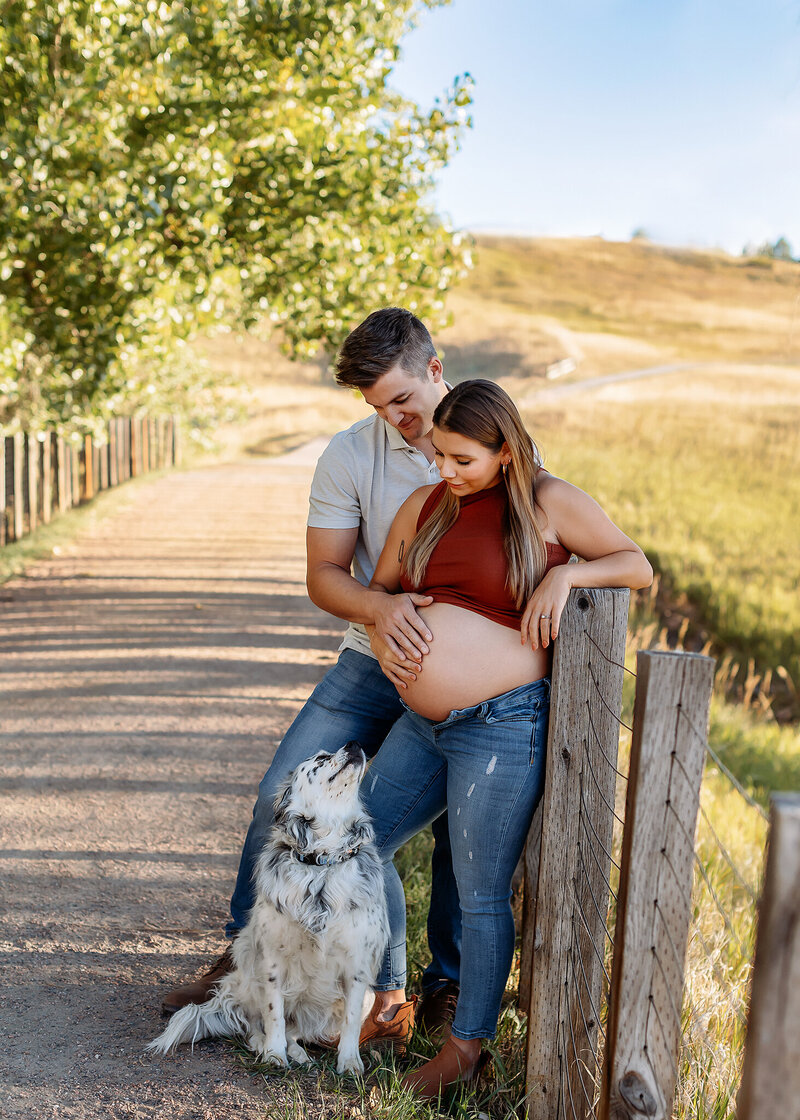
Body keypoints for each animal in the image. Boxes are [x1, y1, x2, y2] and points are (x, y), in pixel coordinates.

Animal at [150, 743, 389, 1075]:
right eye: (320, 758)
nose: (354, 744)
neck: (321, 864)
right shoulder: (272, 960)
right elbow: (273, 1014)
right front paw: (274, 1054)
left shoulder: (357, 966)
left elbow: (351, 1022)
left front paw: (350, 1062)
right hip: (248, 975)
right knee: (256, 1027)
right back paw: (271, 1047)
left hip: (367, 996)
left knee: (297, 1032)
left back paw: (300, 1053)